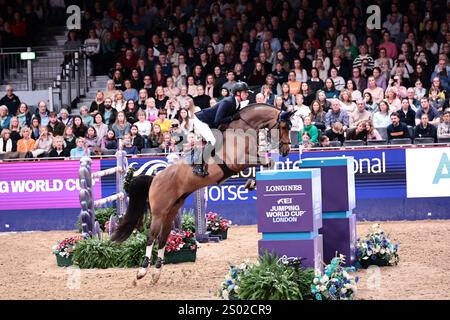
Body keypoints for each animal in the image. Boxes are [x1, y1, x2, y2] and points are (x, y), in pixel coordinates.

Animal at [111, 104, 296, 282]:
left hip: (171, 211)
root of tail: (155, 178)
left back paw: (157, 273)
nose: (286, 151)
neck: (243, 129)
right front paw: (251, 182)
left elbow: (268, 162)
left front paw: (251, 183)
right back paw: (142, 270)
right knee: (152, 236)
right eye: (284, 126)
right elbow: (264, 161)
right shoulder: (237, 162)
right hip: (158, 212)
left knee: (163, 238)